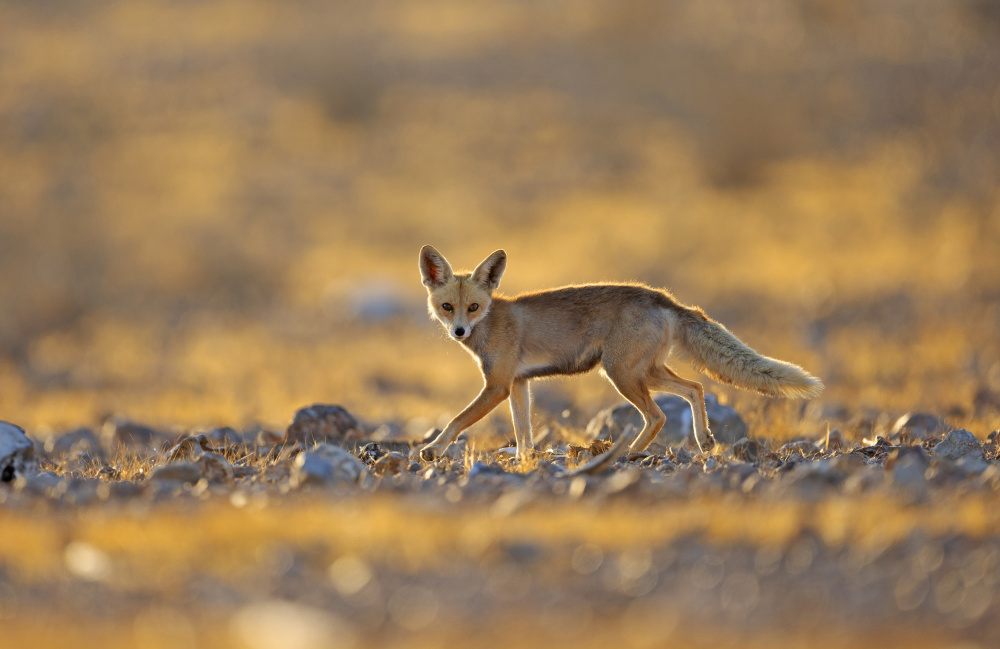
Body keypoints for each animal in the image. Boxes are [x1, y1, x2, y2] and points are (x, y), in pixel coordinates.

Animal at [417, 245, 823, 463]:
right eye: (447, 307)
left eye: (473, 307)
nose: (458, 332)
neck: (492, 321)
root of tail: (664, 298)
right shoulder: (518, 384)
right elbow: (523, 433)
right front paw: (524, 463)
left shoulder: (498, 386)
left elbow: (456, 421)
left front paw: (434, 450)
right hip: (645, 371)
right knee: (695, 388)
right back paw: (703, 438)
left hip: (622, 373)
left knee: (659, 415)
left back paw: (631, 454)